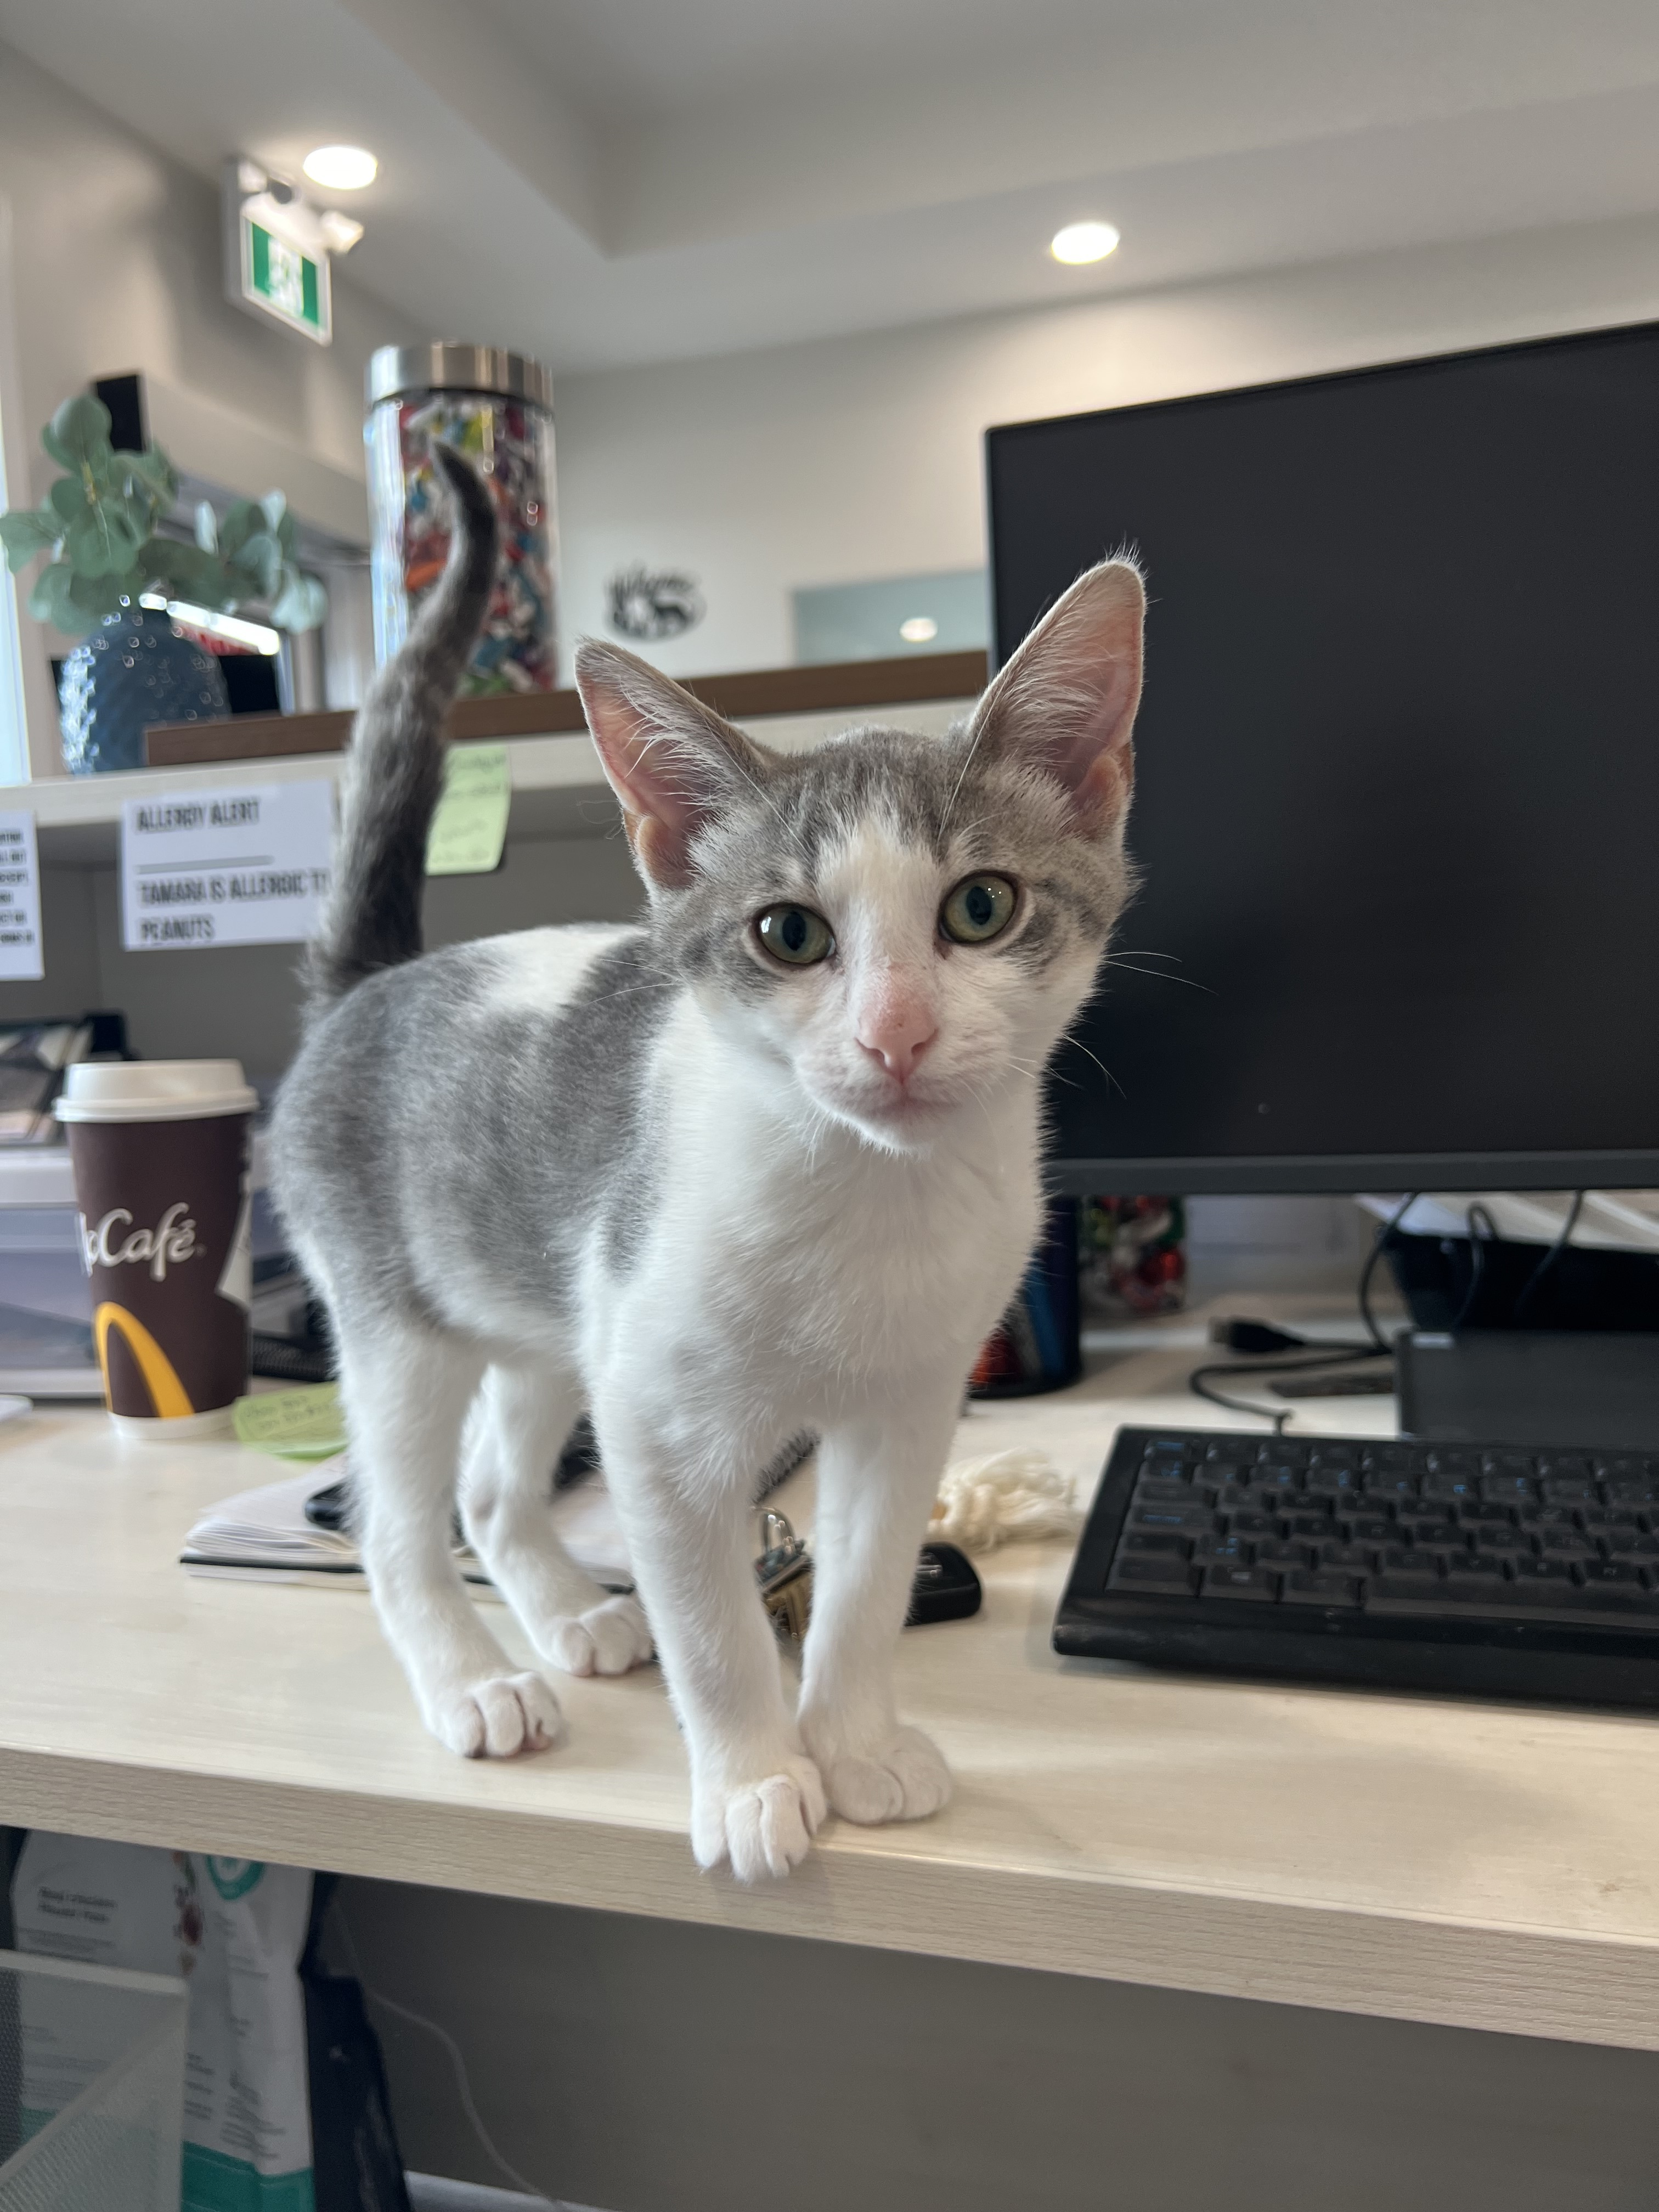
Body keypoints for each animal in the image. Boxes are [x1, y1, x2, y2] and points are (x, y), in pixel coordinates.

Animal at [276, 453, 1159, 1884]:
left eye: (981, 907)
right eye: (789, 934)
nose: (895, 1033)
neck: (870, 1196)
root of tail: (378, 982)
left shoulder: (908, 1403)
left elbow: (864, 1585)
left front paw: (854, 1744)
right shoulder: (659, 1418)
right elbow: (713, 1619)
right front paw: (753, 1781)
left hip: (556, 1306)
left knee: (491, 1484)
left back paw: (569, 1615)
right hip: (401, 1321)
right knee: (396, 1514)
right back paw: (473, 1679)